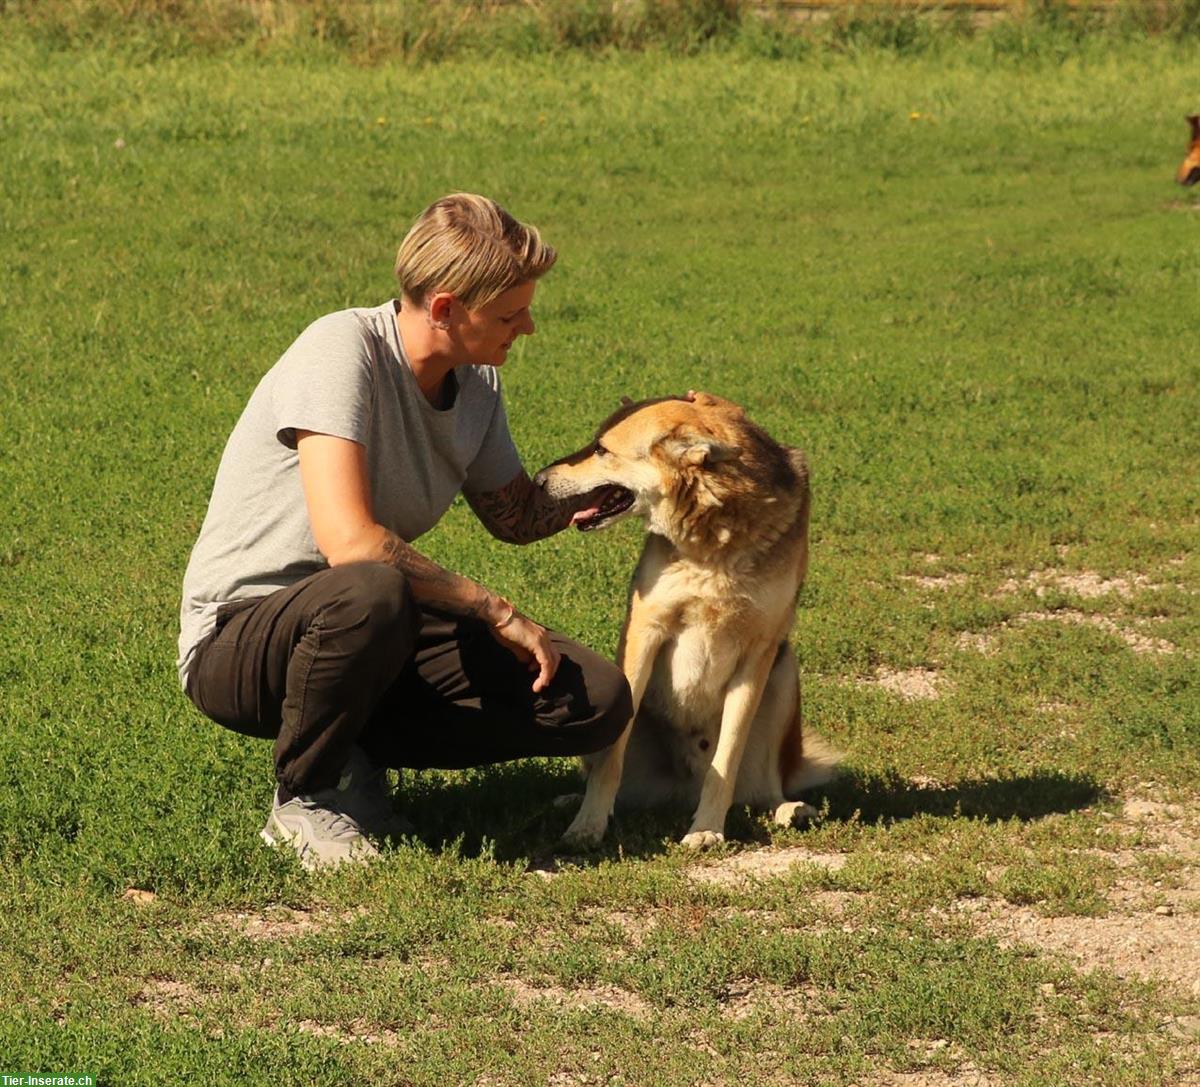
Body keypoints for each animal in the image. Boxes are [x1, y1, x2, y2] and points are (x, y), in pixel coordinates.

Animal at [540, 388, 840, 849]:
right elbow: (611, 760)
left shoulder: (758, 651)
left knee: (765, 788)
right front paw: (587, 825)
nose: (539, 479)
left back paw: (789, 809)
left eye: (602, 450)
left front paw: (707, 829)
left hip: (784, 674)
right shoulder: (645, 631)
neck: (712, 540)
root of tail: (679, 791)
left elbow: (726, 760)